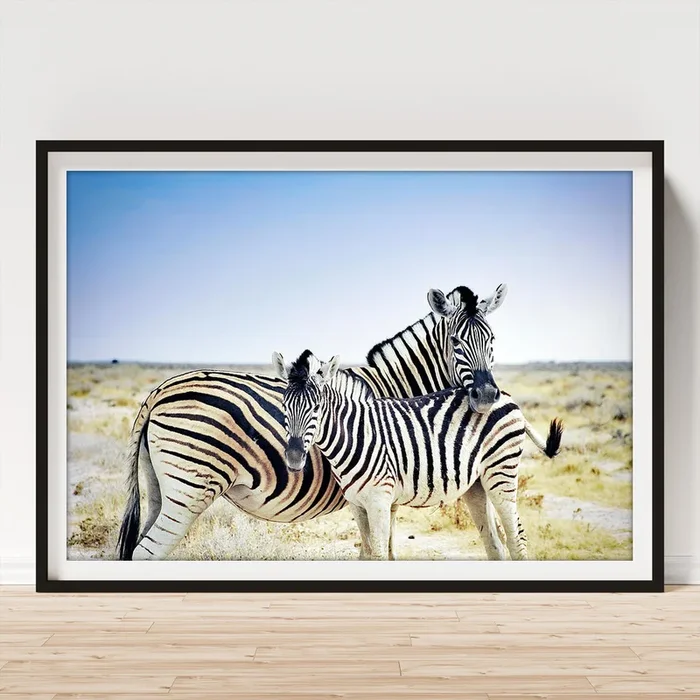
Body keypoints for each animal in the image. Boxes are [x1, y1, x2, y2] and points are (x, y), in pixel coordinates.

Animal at [275, 349, 563, 560]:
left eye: (316, 408)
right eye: (284, 406)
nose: (294, 458)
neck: (356, 434)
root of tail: (504, 395)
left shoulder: (379, 500)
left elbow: (379, 555)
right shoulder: (357, 505)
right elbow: (366, 554)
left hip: (501, 472)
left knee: (517, 539)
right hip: (477, 484)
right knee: (495, 544)